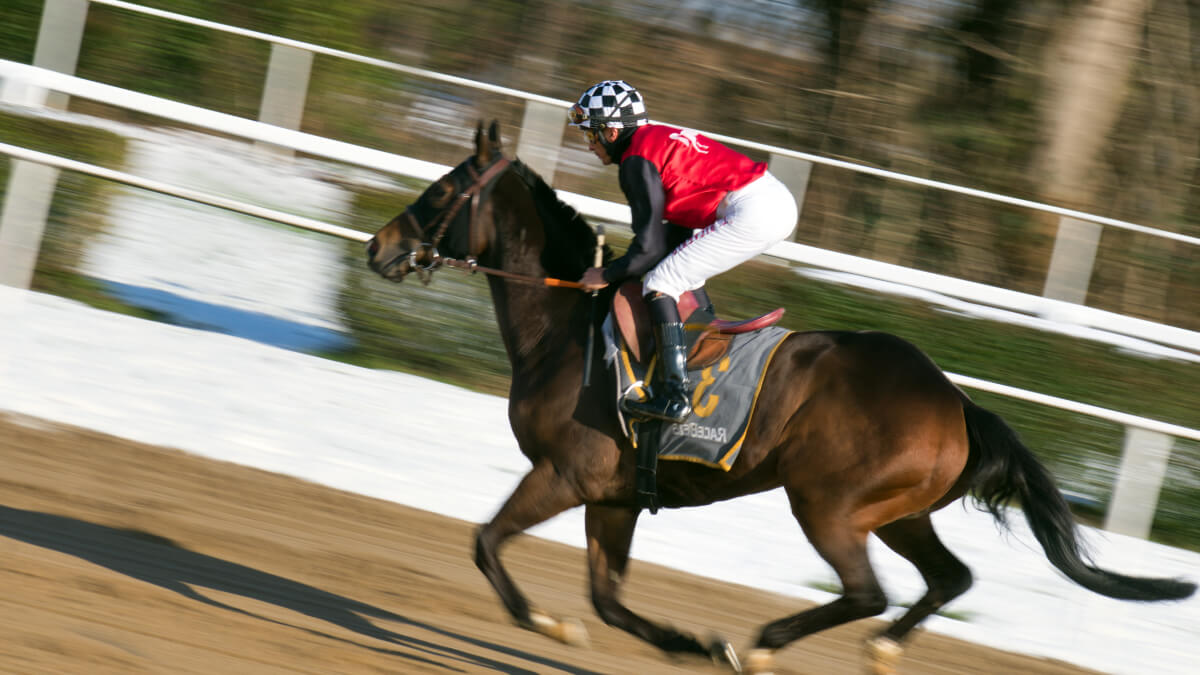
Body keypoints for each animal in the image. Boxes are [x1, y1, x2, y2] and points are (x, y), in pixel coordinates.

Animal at [362, 120, 1190, 672]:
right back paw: (879, 648)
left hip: (826, 502)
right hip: (900, 508)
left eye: (442, 188)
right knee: (948, 577)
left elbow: (487, 542)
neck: (565, 326)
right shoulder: (614, 493)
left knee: (867, 591)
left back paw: (768, 644)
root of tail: (955, 400)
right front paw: (684, 639)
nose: (378, 246)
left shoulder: (564, 473)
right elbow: (605, 596)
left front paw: (546, 620)